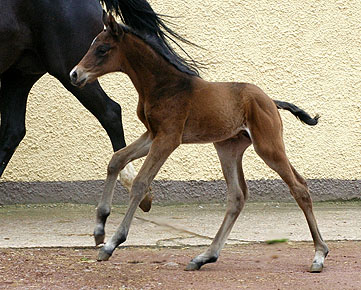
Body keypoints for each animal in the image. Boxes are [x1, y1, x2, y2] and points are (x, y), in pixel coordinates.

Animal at [69, 13, 326, 272]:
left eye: (102, 49)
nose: (74, 74)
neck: (164, 85)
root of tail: (271, 101)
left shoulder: (168, 138)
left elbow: (141, 183)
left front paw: (112, 244)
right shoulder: (153, 134)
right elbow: (116, 159)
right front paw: (99, 228)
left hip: (268, 146)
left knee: (299, 188)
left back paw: (319, 255)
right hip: (228, 148)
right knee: (238, 196)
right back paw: (204, 257)